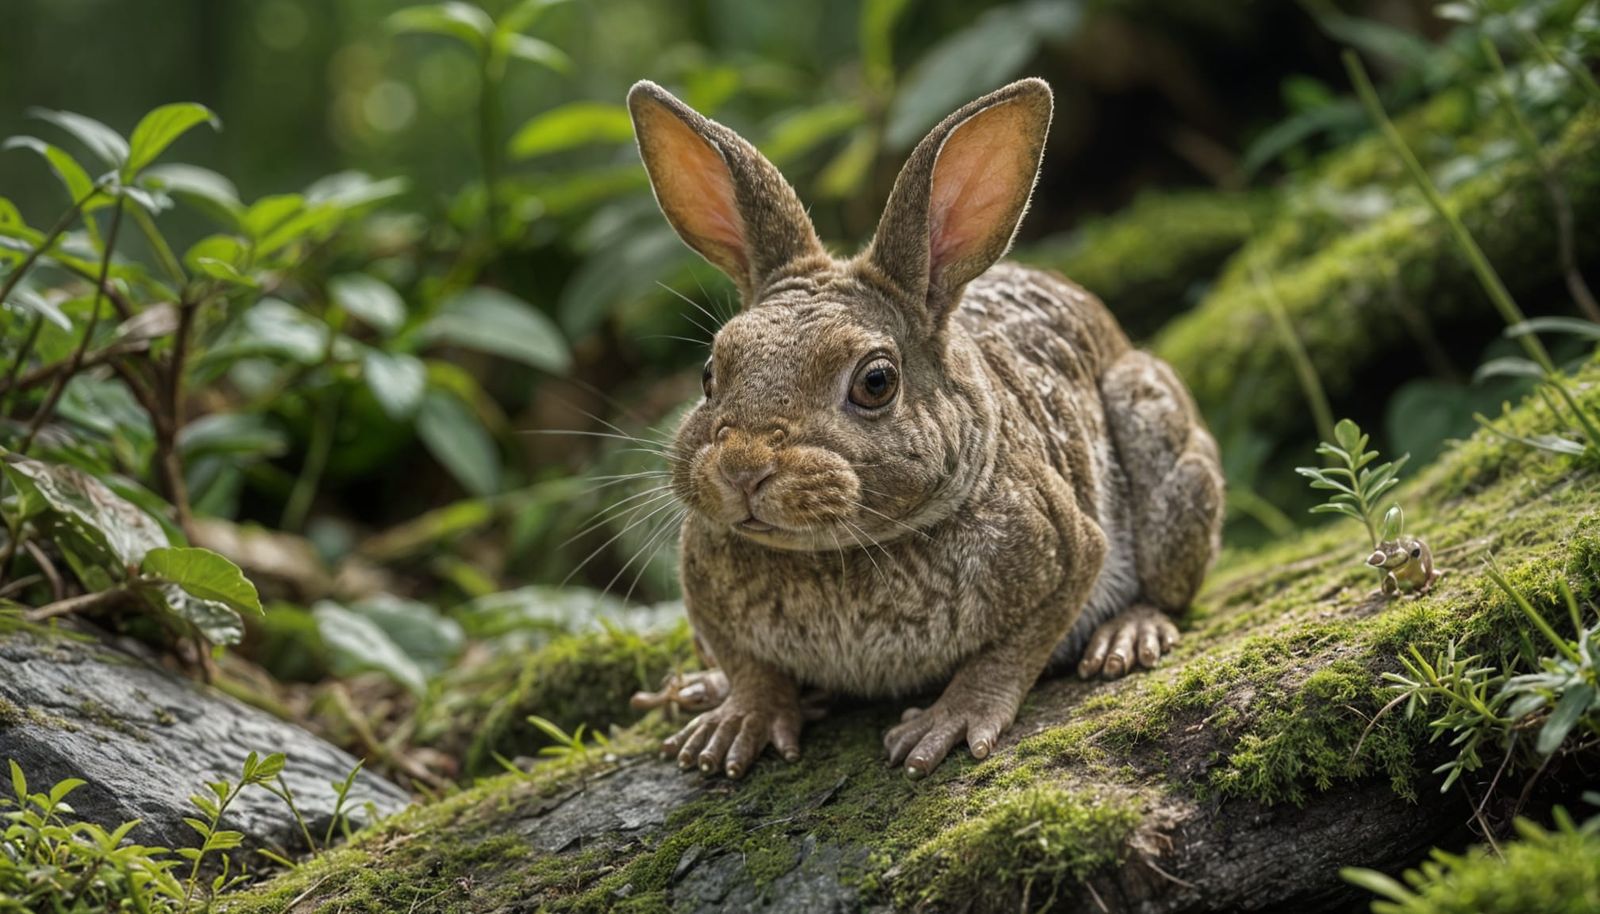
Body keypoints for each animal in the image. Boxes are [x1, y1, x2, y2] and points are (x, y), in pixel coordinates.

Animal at [625, 77, 1224, 780]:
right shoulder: (700, 585)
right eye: (710, 373)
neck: (840, 549)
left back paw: (1125, 639)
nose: (743, 467)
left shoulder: (1066, 547)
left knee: (1168, 584)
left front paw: (945, 725)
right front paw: (734, 726)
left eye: (876, 382)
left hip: (1155, 432)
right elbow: (749, 666)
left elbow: (1011, 651)